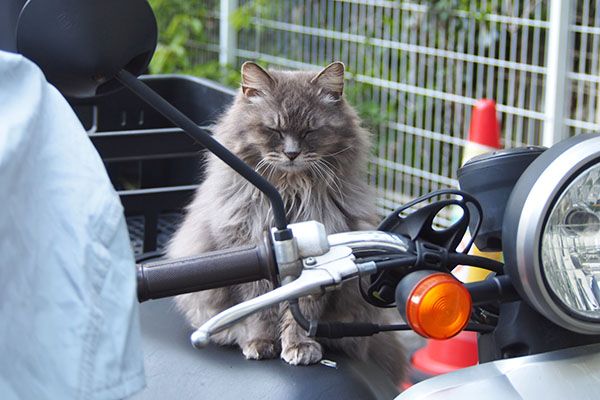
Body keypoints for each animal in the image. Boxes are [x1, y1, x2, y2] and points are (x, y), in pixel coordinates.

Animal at [166, 61, 406, 382]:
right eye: (274, 130)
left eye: (310, 131)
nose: (292, 154)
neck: (290, 191)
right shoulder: (251, 248)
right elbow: (259, 310)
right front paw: (261, 342)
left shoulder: (318, 256)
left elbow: (302, 311)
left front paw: (299, 346)